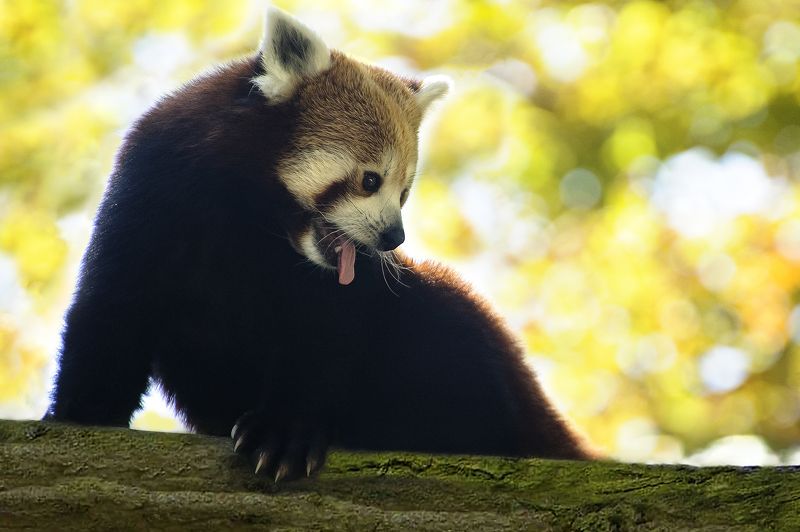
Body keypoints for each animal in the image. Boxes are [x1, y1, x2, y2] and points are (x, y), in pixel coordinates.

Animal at [47, 7, 593, 481]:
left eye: (404, 192)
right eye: (371, 181)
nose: (394, 237)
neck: (256, 223)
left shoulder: (334, 294)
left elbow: (324, 342)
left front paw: (285, 432)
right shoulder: (150, 192)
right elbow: (113, 307)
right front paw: (80, 413)